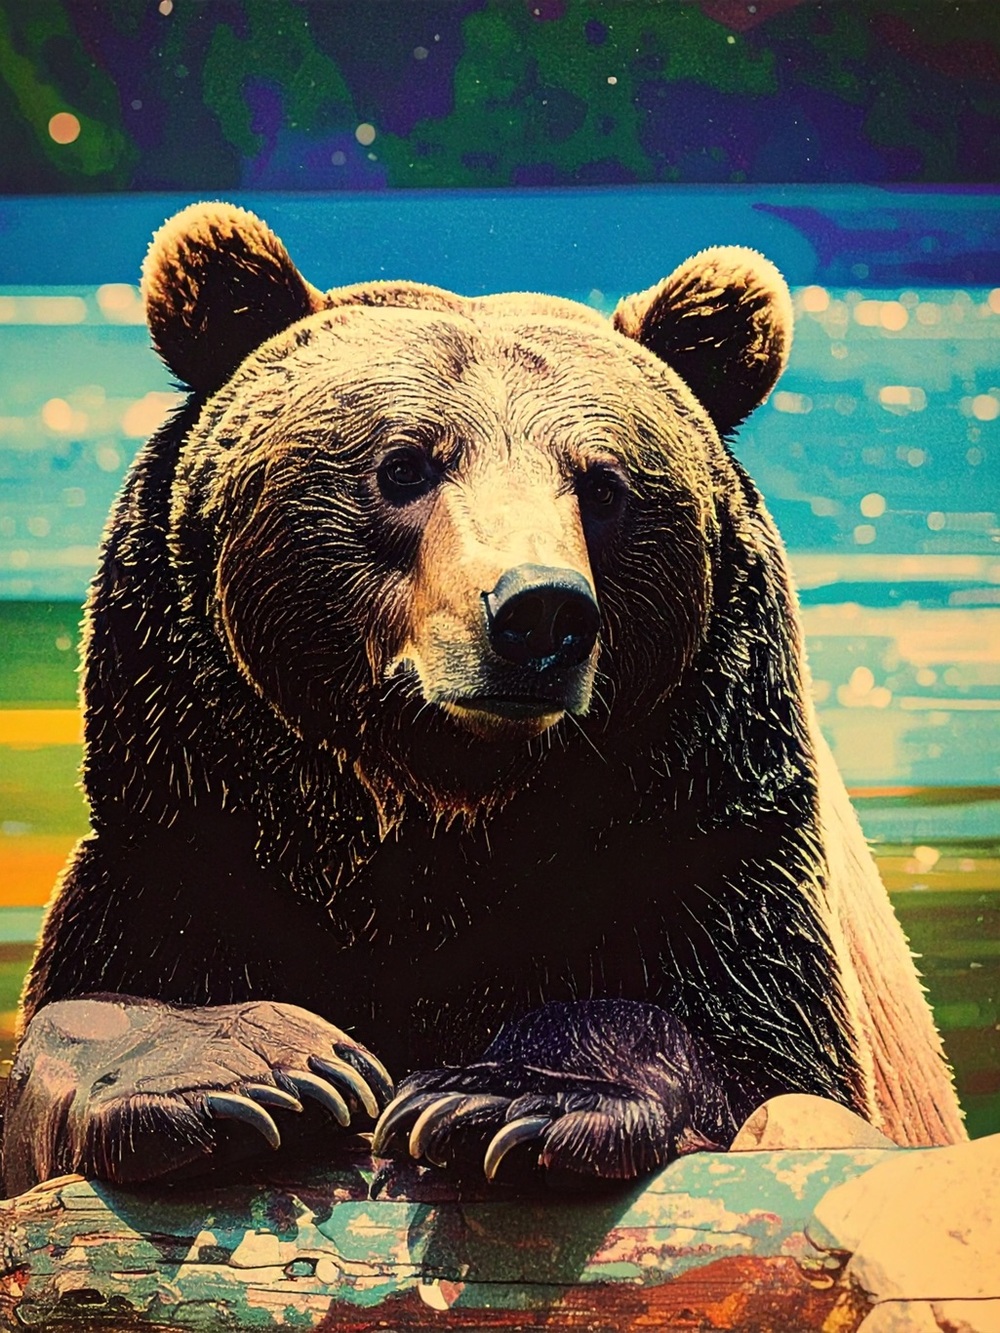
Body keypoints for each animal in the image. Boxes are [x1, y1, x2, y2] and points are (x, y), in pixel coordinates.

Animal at [1, 202, 965, 1197]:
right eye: (403, 465)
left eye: (604, 484)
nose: (539, 610)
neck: (440, 821)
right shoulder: (190, 846)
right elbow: (89, 1009)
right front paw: (263, 1070)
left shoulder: (715, 861)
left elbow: (764, 1070)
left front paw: (502, 1095)